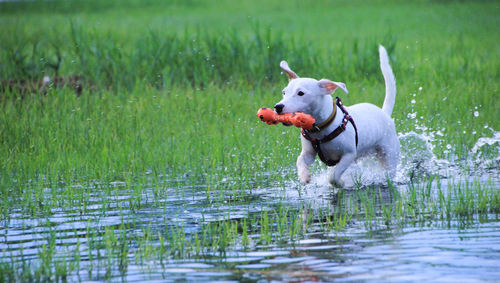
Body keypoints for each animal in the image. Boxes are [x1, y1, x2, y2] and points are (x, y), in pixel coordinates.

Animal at [274, 45, 398, 187]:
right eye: (284, 92)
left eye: (301, 93)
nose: (278, 107)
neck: (320, 128)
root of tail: (384, 113)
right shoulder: (309, 153)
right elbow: (300, 160)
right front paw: (304, 176)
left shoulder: (349, 155)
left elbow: (333, 175)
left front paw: (341, 183)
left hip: (389, 154)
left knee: (389, 170)